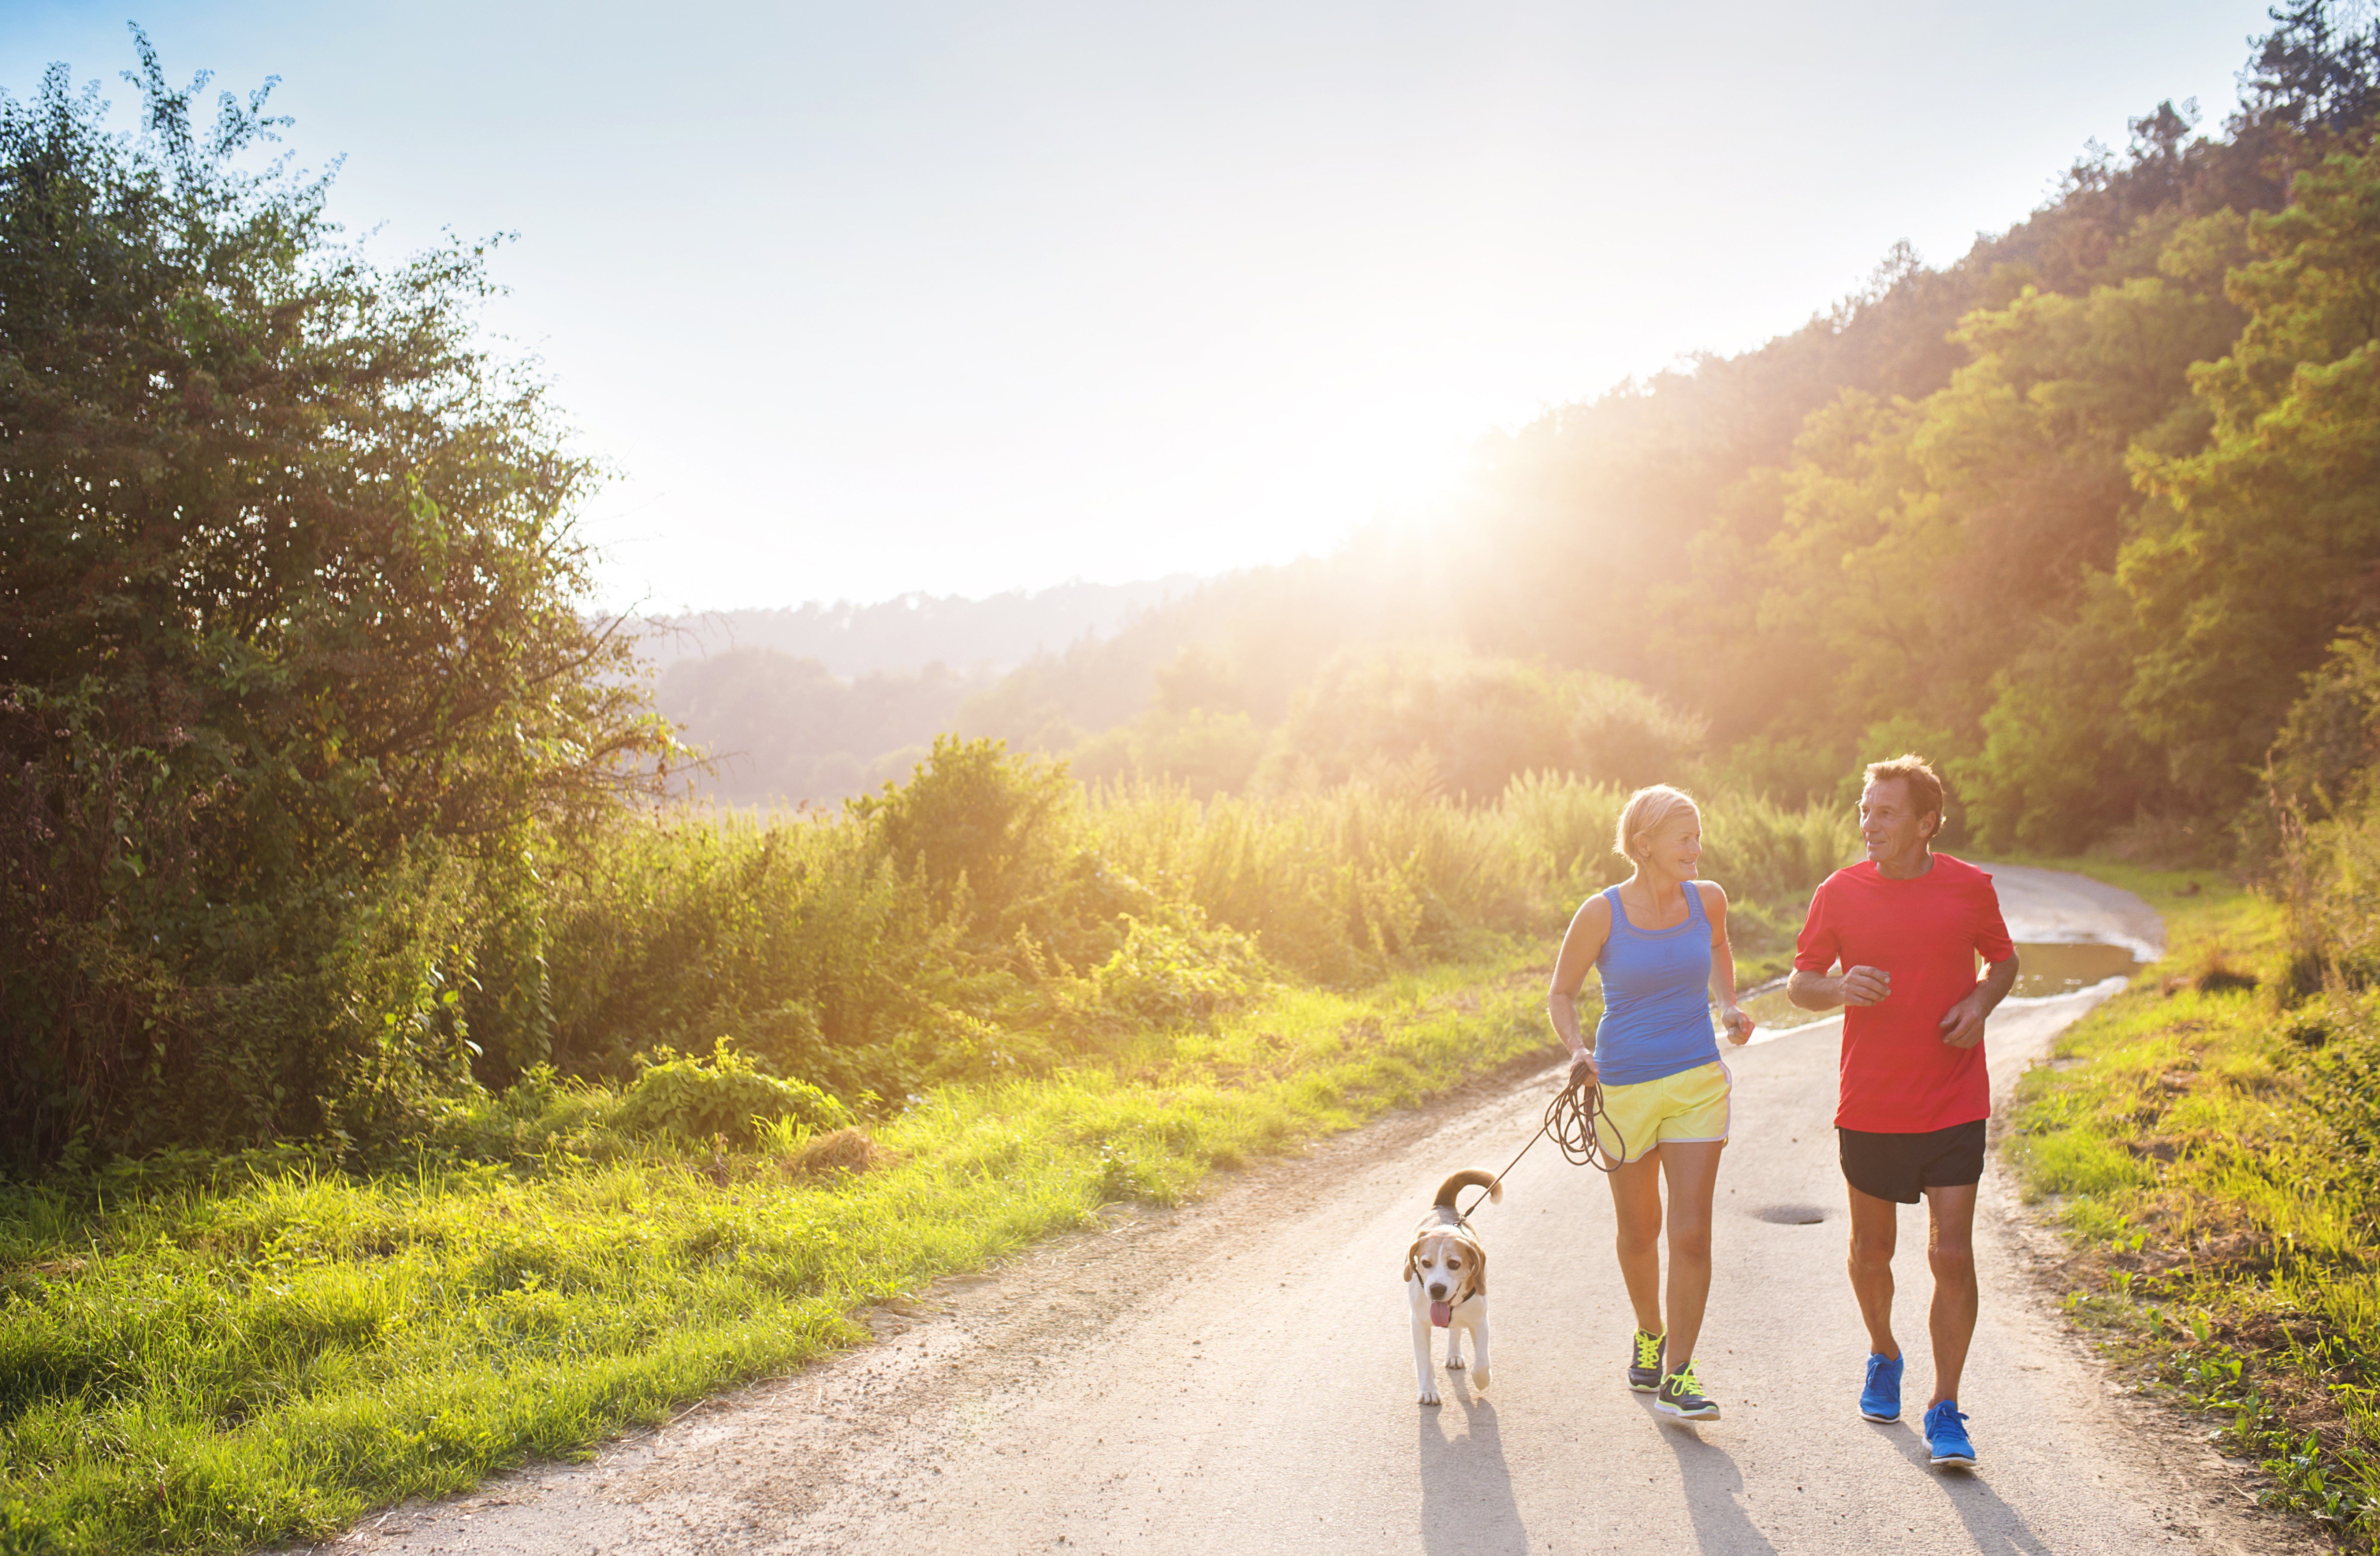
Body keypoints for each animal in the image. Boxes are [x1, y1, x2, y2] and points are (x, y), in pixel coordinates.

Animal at [1399, 1170, 1495, 1418]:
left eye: (1454, 1264)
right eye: (1426, 1263)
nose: (1436, 1289)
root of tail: (1444, 1206)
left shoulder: (1480, 1320)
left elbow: (1483, 1361)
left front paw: (1481, 1380)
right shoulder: (1418, 1324)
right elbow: (1424, 1361)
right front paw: (1428, 1392)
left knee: (1456, 1330)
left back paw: (1454, 1354)